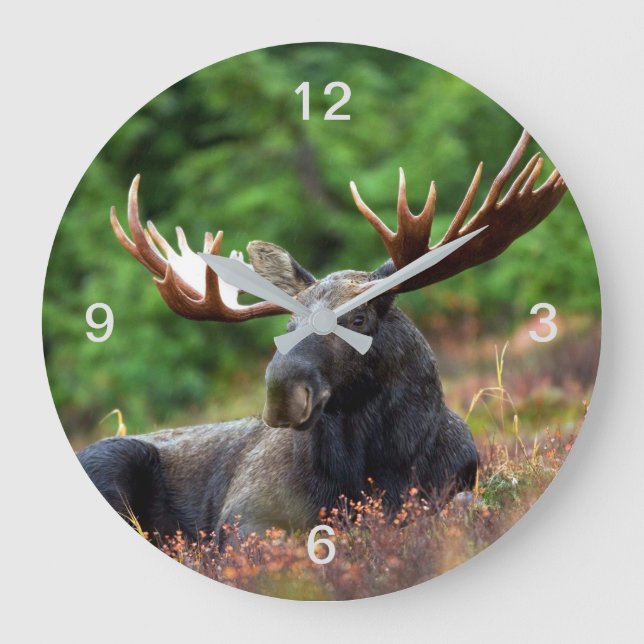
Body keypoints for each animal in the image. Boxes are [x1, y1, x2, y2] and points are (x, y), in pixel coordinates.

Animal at [78, 131, 567, 540]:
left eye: (359, 319)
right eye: (287, 326)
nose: (282, 393)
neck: (378, 468)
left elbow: (464, 505)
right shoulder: (243, 513)